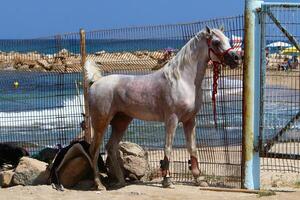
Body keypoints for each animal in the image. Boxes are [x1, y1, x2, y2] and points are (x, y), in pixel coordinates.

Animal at [85, 25, 240, 190]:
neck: (182, 80)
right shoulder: (172, 119)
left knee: (111, 147)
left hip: (121, 122)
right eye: (216, 42)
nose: (237, 58)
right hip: (101, 123)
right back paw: (99, 185)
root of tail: (96, 82)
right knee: (94, 150)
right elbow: (168, 147)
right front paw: (167, 180)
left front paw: (200, 179)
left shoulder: (190, 120)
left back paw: (120, 181)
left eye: (228, 40)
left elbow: (192, 148)